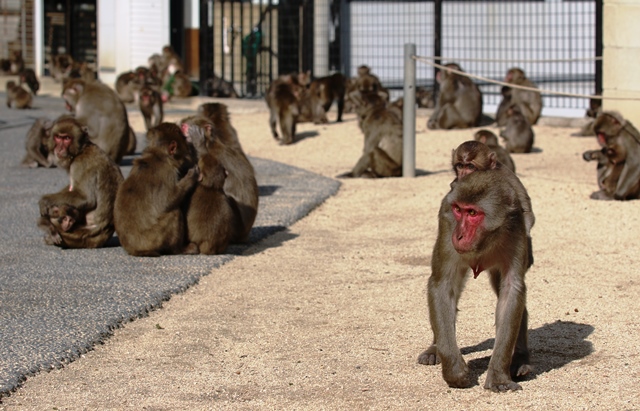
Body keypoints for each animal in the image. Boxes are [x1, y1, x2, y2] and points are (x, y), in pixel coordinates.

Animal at [418, 171, 532, 392]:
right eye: (458, 210)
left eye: (472, 213)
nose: (459, 236)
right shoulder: (447, 222)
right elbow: (442, 285)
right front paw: (454, 370)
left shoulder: (517, 228)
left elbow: (511, 290)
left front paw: (499, 375)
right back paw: (435, 349)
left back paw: (520, 359)